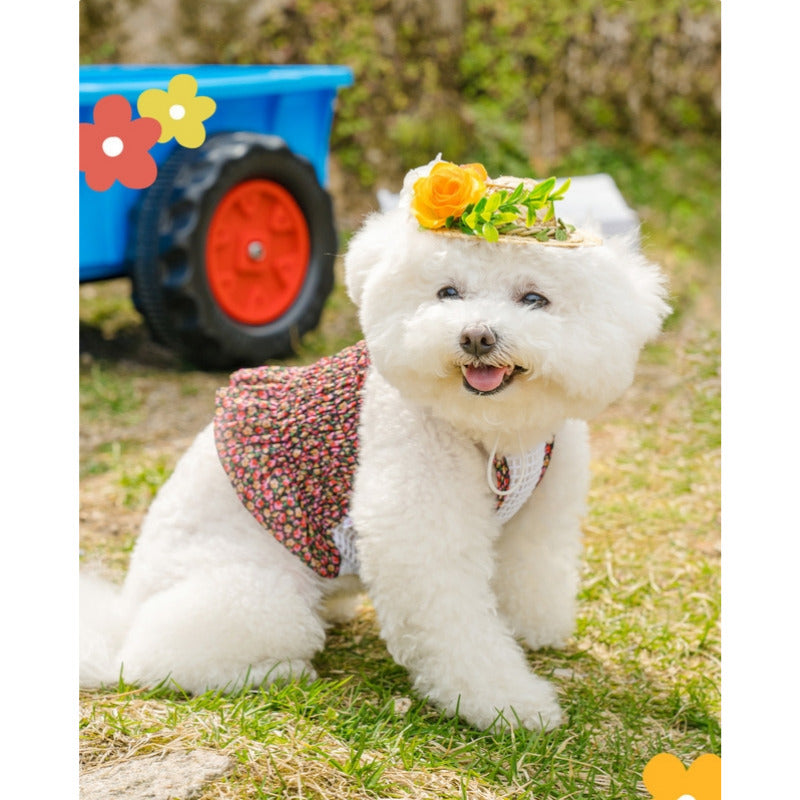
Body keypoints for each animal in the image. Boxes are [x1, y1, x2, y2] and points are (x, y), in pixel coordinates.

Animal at [81, 158, 668, 732]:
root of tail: (124, 610)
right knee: (153, 659)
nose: (477, 336)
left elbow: (533, 571)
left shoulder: (540, 515)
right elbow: (459, 631)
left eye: (534, 299)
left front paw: (533, 630)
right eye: (447, 293)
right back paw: (275, 670)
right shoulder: (421, 530)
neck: (495, 431)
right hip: (258, 599)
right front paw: (505, 703)